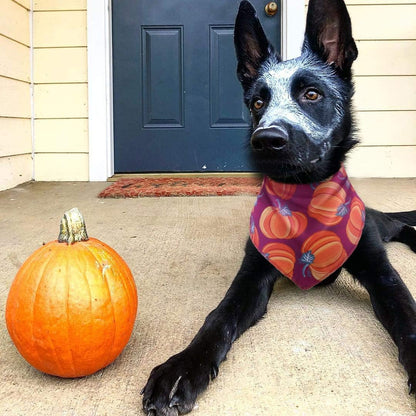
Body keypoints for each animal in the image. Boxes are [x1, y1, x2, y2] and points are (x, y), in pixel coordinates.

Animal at [142, 1, 416, 414]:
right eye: (258, 102)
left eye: (312, 95)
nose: (265, 140)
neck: (304, 198)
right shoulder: (252, 275)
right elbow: (217, 317)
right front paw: (184, 366)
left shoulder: (380, 270)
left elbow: (409, 319)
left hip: (373, 225)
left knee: (399, 225)